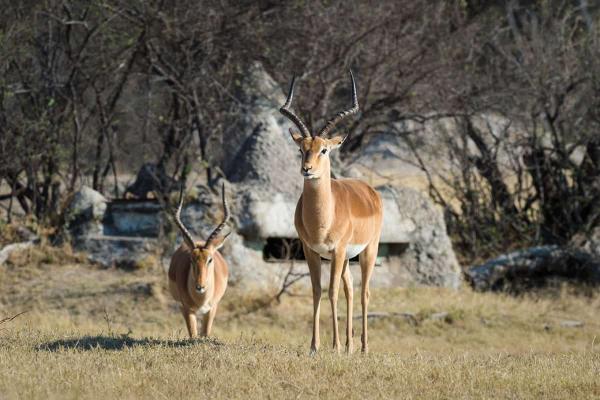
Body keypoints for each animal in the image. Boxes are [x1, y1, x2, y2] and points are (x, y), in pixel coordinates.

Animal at [168, 184, 231, 338]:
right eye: (191, 259)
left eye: (210, 259)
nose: (200, 286)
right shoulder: (187, 309)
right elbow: (193, 335)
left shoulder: (212, 309)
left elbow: (205, 334)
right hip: (181, 306)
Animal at [282, 71, 384, 354]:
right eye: (301, 148)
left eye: (324, 149)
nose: (306, 169)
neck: (322, 219)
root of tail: (370, 191)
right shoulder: (311, 251)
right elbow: (317, 291)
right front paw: (315, 346)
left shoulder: (336, 251)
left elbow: (331, 292)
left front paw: (335, 346)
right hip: (346, 259)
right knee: (350, 289)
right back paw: (350, 346)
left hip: (368, 251)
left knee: (363, 293)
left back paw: (363, 347)